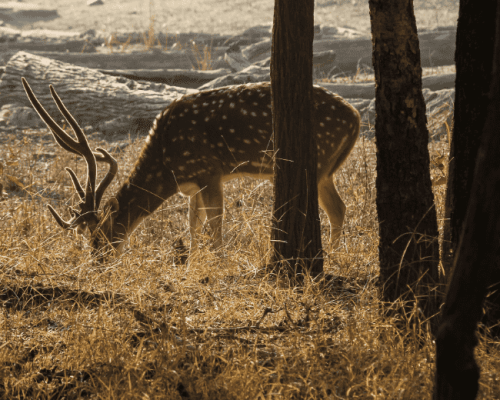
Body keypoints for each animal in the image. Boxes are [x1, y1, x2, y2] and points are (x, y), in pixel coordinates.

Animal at [22, 78, 360, 258]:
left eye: (98, 237)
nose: (97, 262)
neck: (166, 164)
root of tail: (355, 117)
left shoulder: (209, 170)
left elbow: (216, 221)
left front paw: (218, 260)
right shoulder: (192, 183)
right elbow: (193, 223)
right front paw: (194, 260)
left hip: (318, 161)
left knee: (334, 209)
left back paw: (331, 256)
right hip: (325, 169)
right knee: (339, 207)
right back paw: (333, 254)